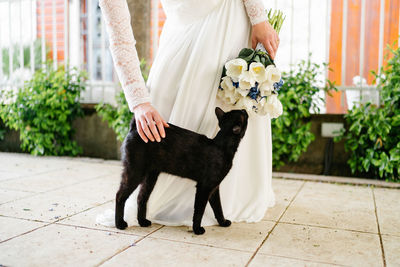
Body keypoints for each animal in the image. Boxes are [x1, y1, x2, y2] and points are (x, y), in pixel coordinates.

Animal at [114, 108, 248, 236]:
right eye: (243, 115)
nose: (245, 110)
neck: (221, 147)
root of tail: (135, 127)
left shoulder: (214, 188)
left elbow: (218, 208)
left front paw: (223, 222)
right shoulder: (204, 187)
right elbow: (199, 210)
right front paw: (197, 229)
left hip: (150, 177)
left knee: (141, 197)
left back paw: (142, 222)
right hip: (135, 172)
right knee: (120, 196)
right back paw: (120, 224)